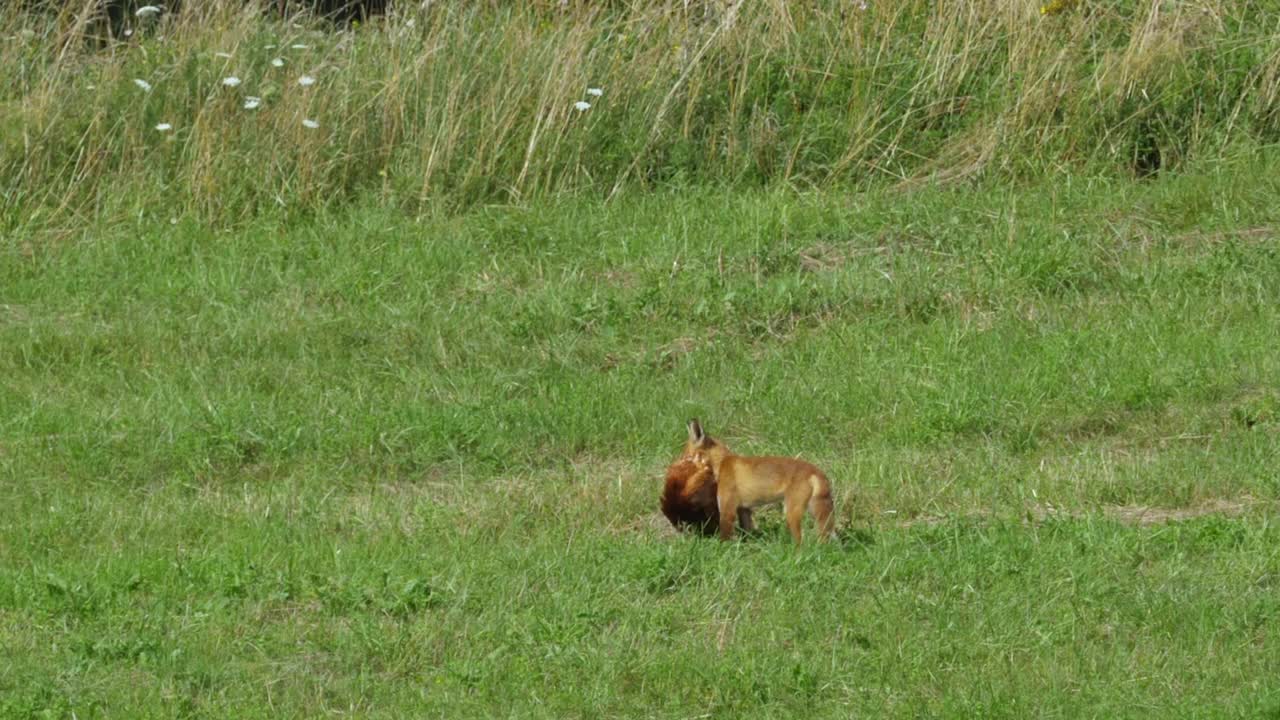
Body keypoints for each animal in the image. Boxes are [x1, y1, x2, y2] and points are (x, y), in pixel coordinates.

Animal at [686, 417, 834, 540]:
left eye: (686, 455)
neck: (722, 463)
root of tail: (815, 470)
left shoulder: (728, 510)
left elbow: (724, 538)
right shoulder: (744, 509)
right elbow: (746, 534)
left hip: (791, 513)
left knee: (801, 542)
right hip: (814, 511)